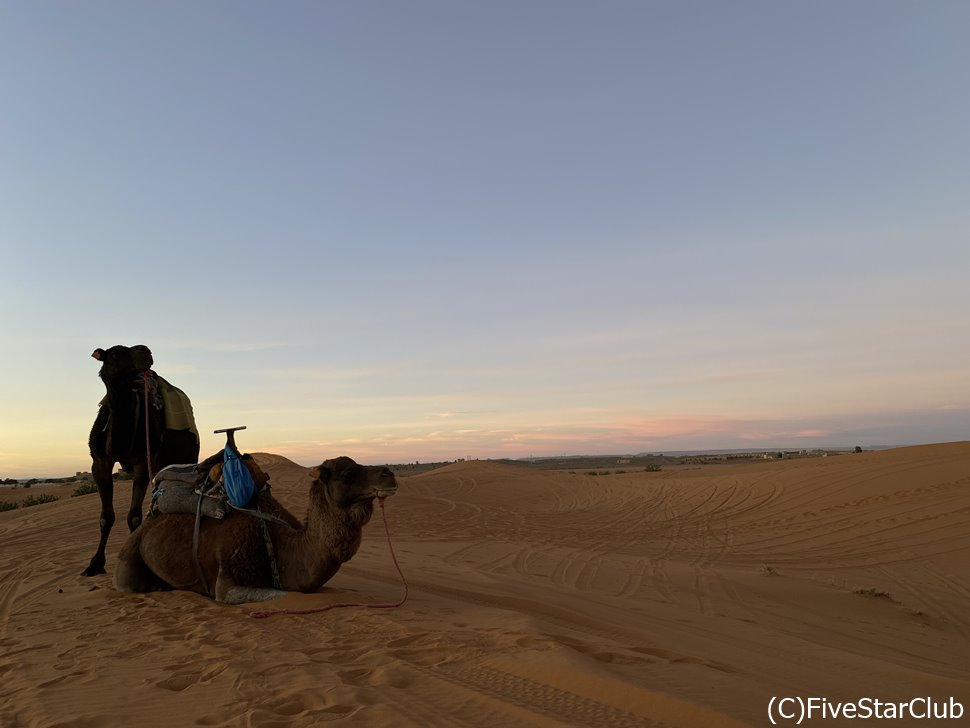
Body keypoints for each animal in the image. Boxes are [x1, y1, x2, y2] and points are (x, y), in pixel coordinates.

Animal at [84, 344, 201, 576]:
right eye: (115, 353)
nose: (145, 350)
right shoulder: (100, 462)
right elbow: (106, 517)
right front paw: (94, 564)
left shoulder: (141, 462)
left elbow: (134, 516)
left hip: (189, 454)